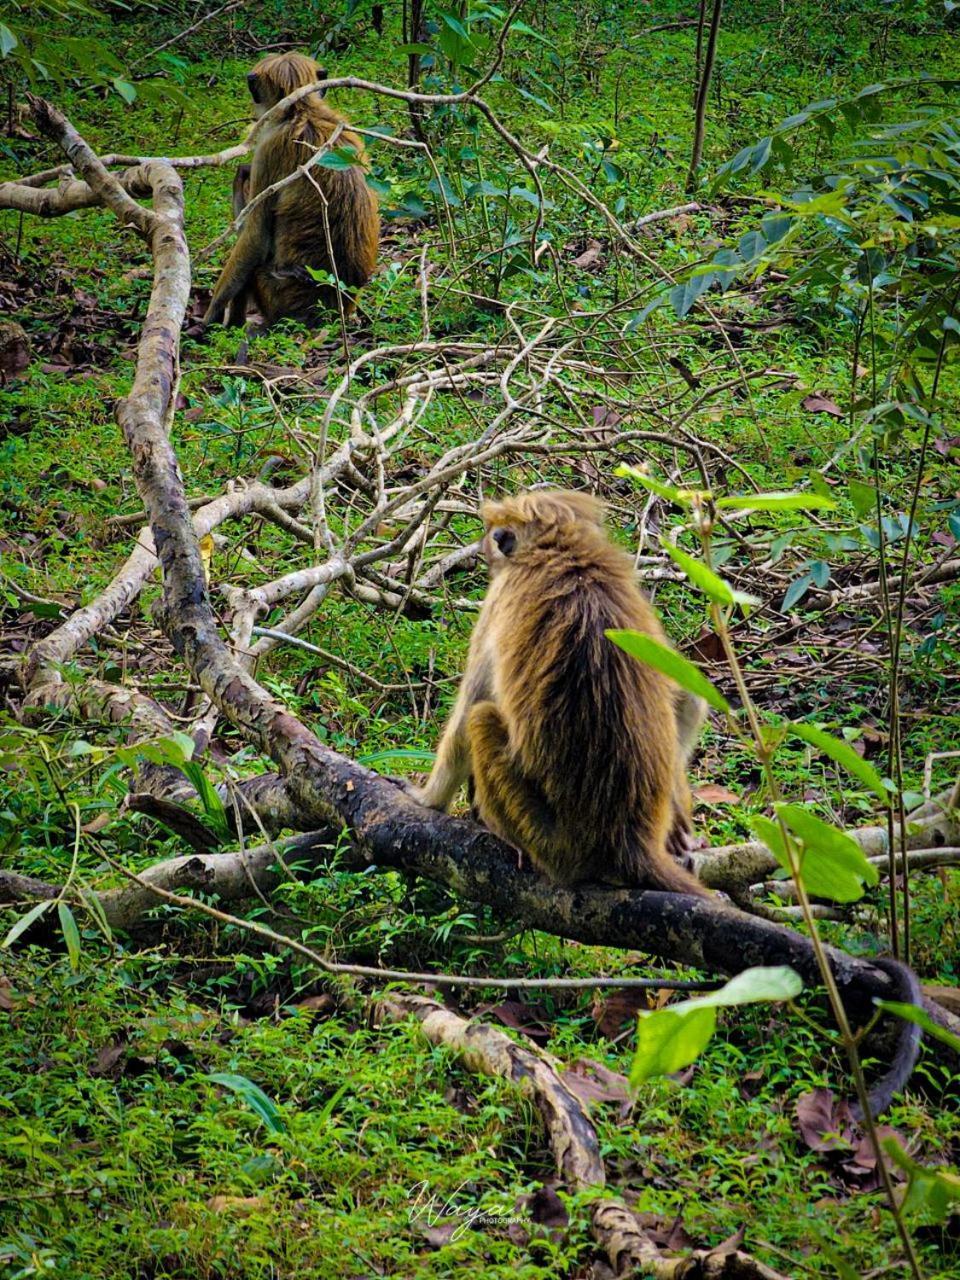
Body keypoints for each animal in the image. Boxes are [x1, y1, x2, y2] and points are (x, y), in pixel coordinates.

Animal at [401, 483, 711, 896]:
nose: (487, 547)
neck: (561, 549)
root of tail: (628, 841)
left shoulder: (501, 597)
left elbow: (469, 710)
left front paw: (427, 799)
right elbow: (681, 695)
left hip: (548, 838)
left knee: (480, 718)